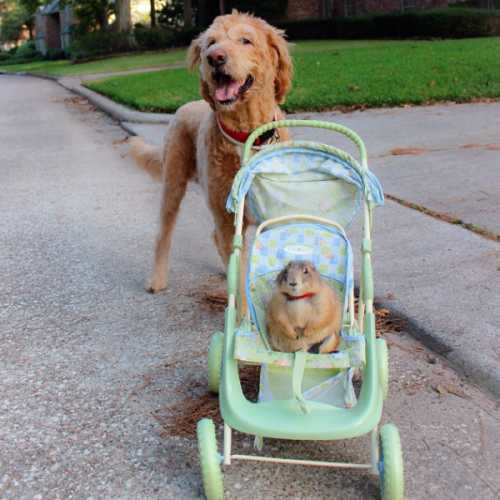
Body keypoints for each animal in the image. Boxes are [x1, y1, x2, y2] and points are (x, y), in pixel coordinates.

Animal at [129, 8, 292, 292]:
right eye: (211, 43)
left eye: (245, 40)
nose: (215, 58)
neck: (247, 137)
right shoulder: (227, 219)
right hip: (173, 184)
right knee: (163, 235)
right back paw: (157, 278)